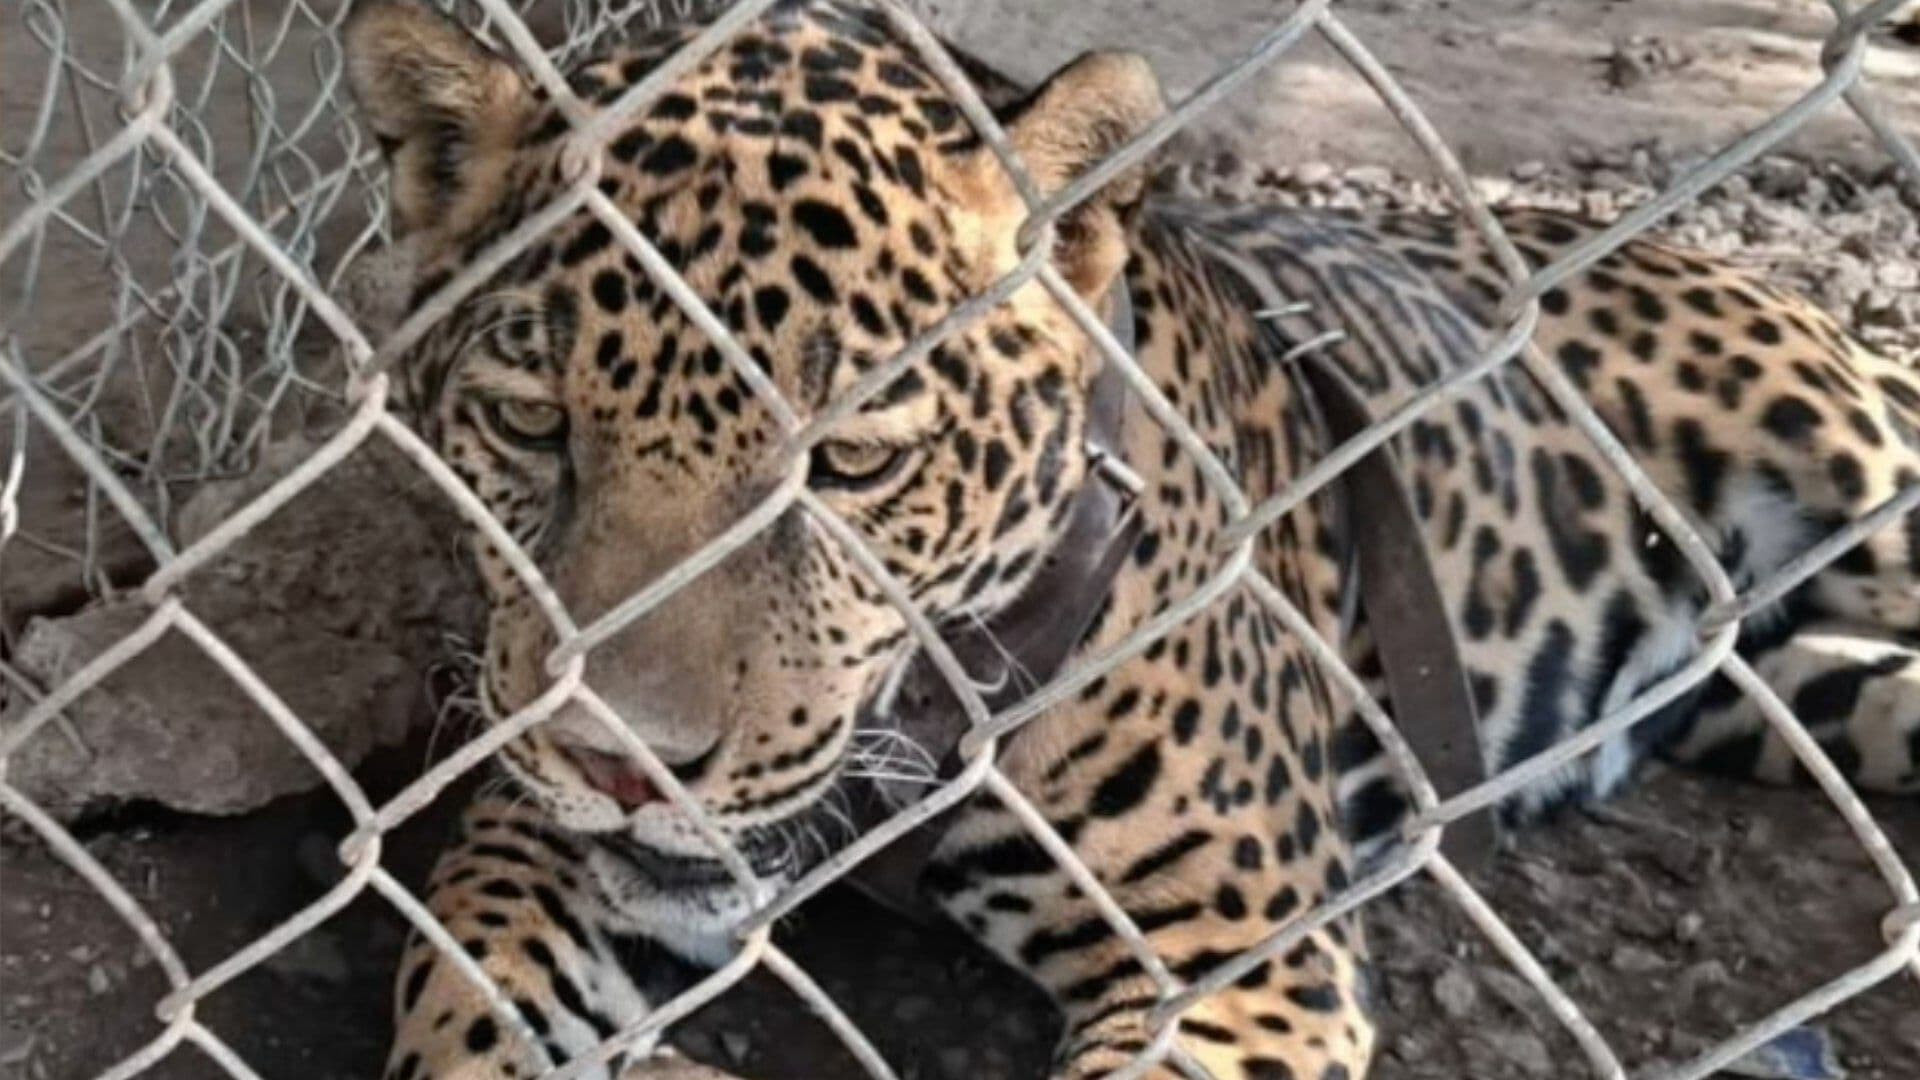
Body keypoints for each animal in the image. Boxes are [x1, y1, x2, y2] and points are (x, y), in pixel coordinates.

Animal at [341, 2, 1920, 1077]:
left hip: (1853, 455)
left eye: (852, 463)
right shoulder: (522, 836)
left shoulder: (1235, 957)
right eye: (532, 423)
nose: (624, 765)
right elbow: (463, 1010)